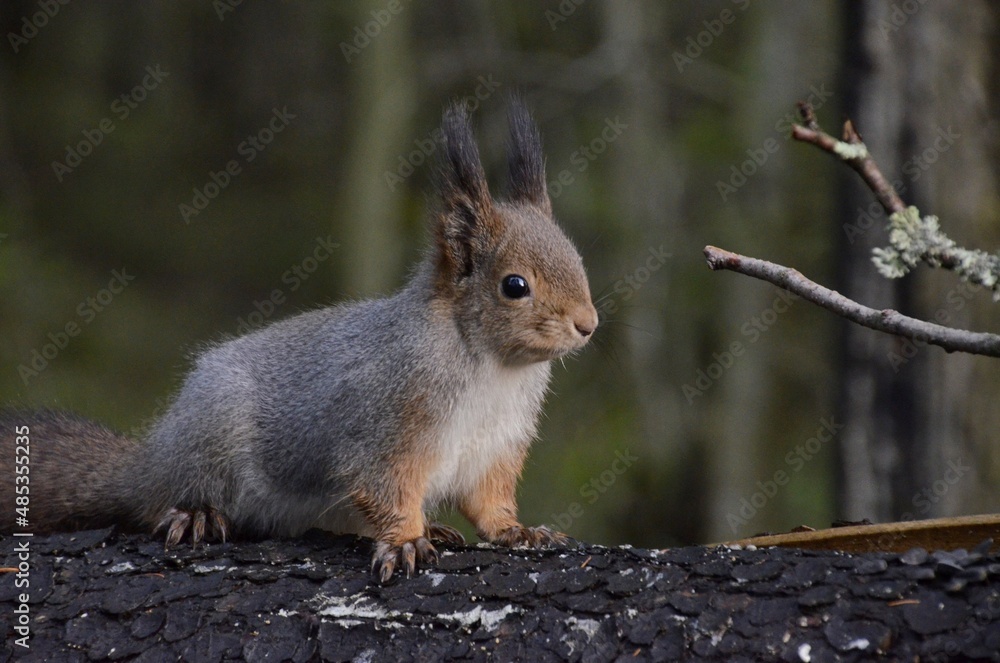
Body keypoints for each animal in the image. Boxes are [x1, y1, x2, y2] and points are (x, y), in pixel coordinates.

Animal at [0, 99, 598, 583]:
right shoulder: (384, 427)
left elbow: (488, 502)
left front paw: (516, 530)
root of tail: (152, 458)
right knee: (160, 501)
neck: (494, 367)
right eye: (514, 286)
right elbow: (383, 487)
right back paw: (195, 513)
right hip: (210, 443)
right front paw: (405, 539)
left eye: (577, 256)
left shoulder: (496, 448)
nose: (588, 324)